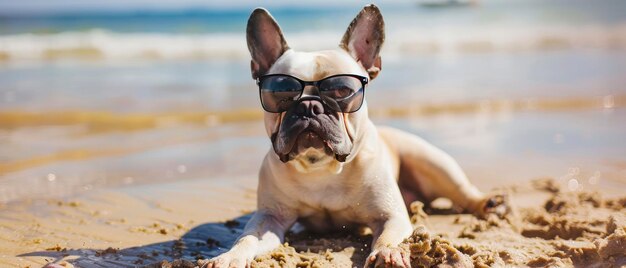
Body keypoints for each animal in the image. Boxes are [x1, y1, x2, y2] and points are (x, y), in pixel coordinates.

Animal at [207, 4, 504, 268]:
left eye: (341, 91)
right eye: (281, 93)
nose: (309, 106)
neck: (321, 169)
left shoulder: (390, 216)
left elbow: (386, 237)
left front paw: (388, 253)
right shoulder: (270, 218)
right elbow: (247, 238)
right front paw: (230, 256)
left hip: (433, 162)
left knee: (462, 191)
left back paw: (488, 204)